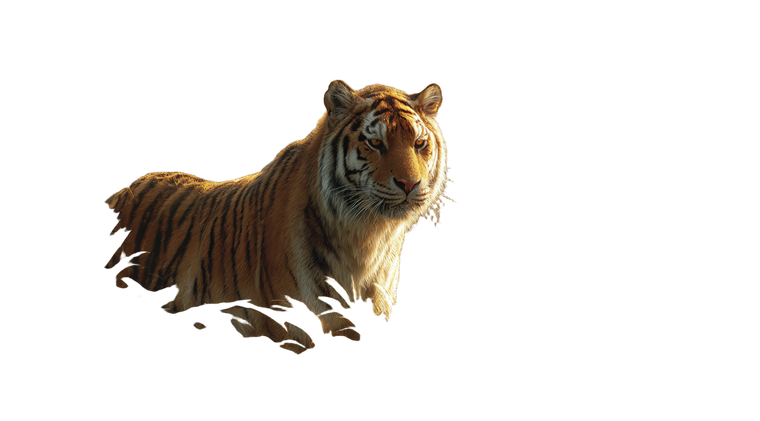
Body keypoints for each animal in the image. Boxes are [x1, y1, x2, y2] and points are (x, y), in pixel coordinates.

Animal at [101, 77, 458, 357]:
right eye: (375, 142)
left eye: (419, 143)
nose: (410, 184)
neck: (370, 236)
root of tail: (122, 190)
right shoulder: (257, 309)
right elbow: (299, 330)